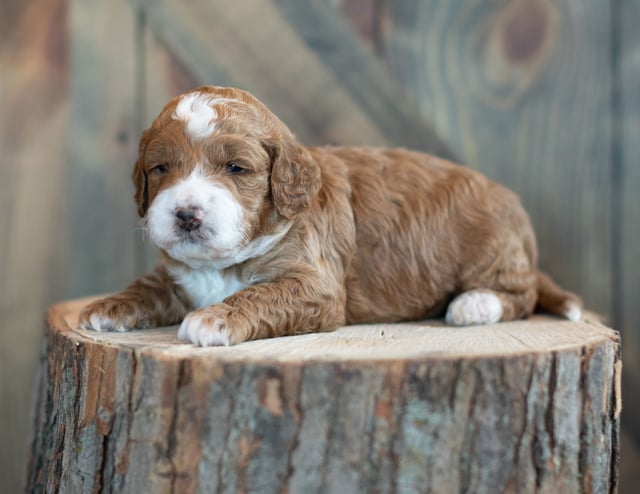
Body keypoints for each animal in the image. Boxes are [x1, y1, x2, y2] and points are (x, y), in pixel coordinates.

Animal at [77, 85, 584, 346]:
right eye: (160, 168)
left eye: (236, 168)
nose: (186, 214)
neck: (224, 264)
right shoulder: (178, 276)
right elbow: (148, 286)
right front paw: (109, 306)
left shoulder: (314, 284)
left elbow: (261, 294)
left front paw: (213, 320)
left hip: (492, 249)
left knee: (522, 294)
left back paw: (474, 304)